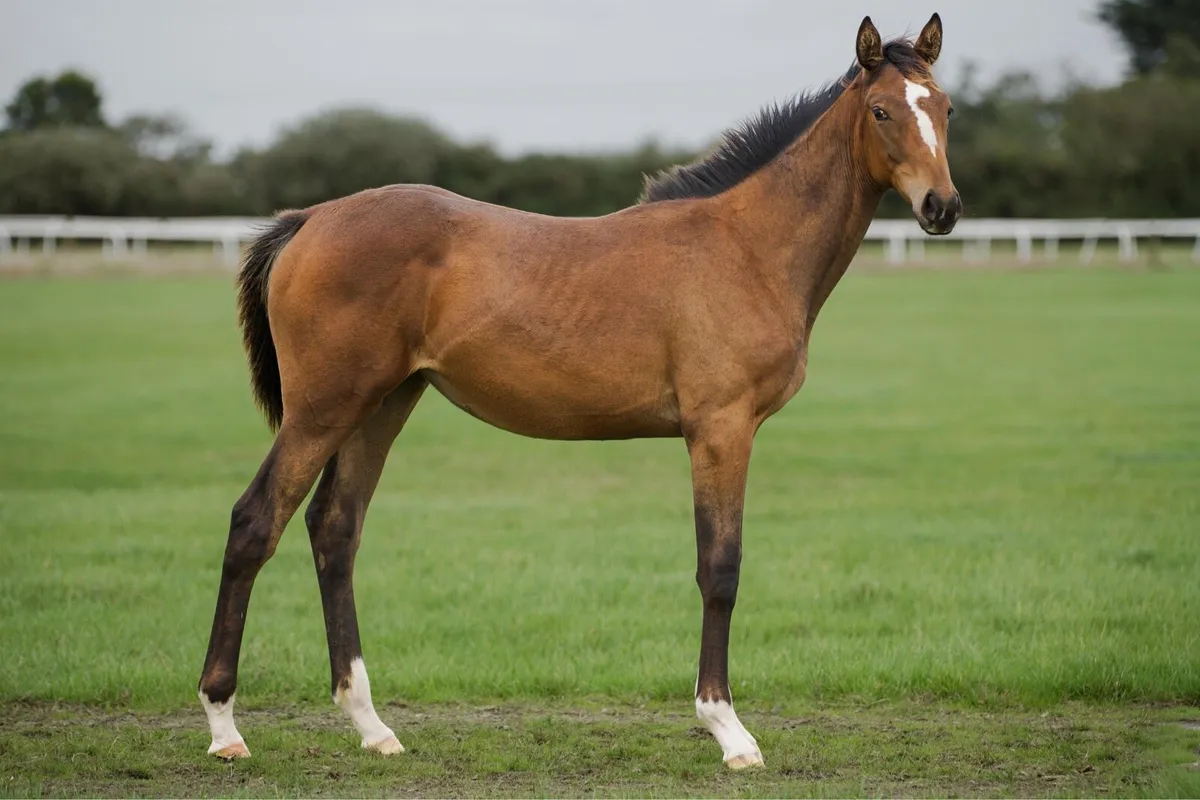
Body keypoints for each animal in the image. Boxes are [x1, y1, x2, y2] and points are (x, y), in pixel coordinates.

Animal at [198, 13, 960, 770]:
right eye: (881, 110)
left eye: (946, 109)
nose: (942, 208)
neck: (748, 245)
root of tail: (311, 219)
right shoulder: (721, 429)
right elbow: (720, 569)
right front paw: (728, 729)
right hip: (322, 410)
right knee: (254, 523)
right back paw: (224, 725)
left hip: (381, 406)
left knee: (335, 530)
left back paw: (371, 725)